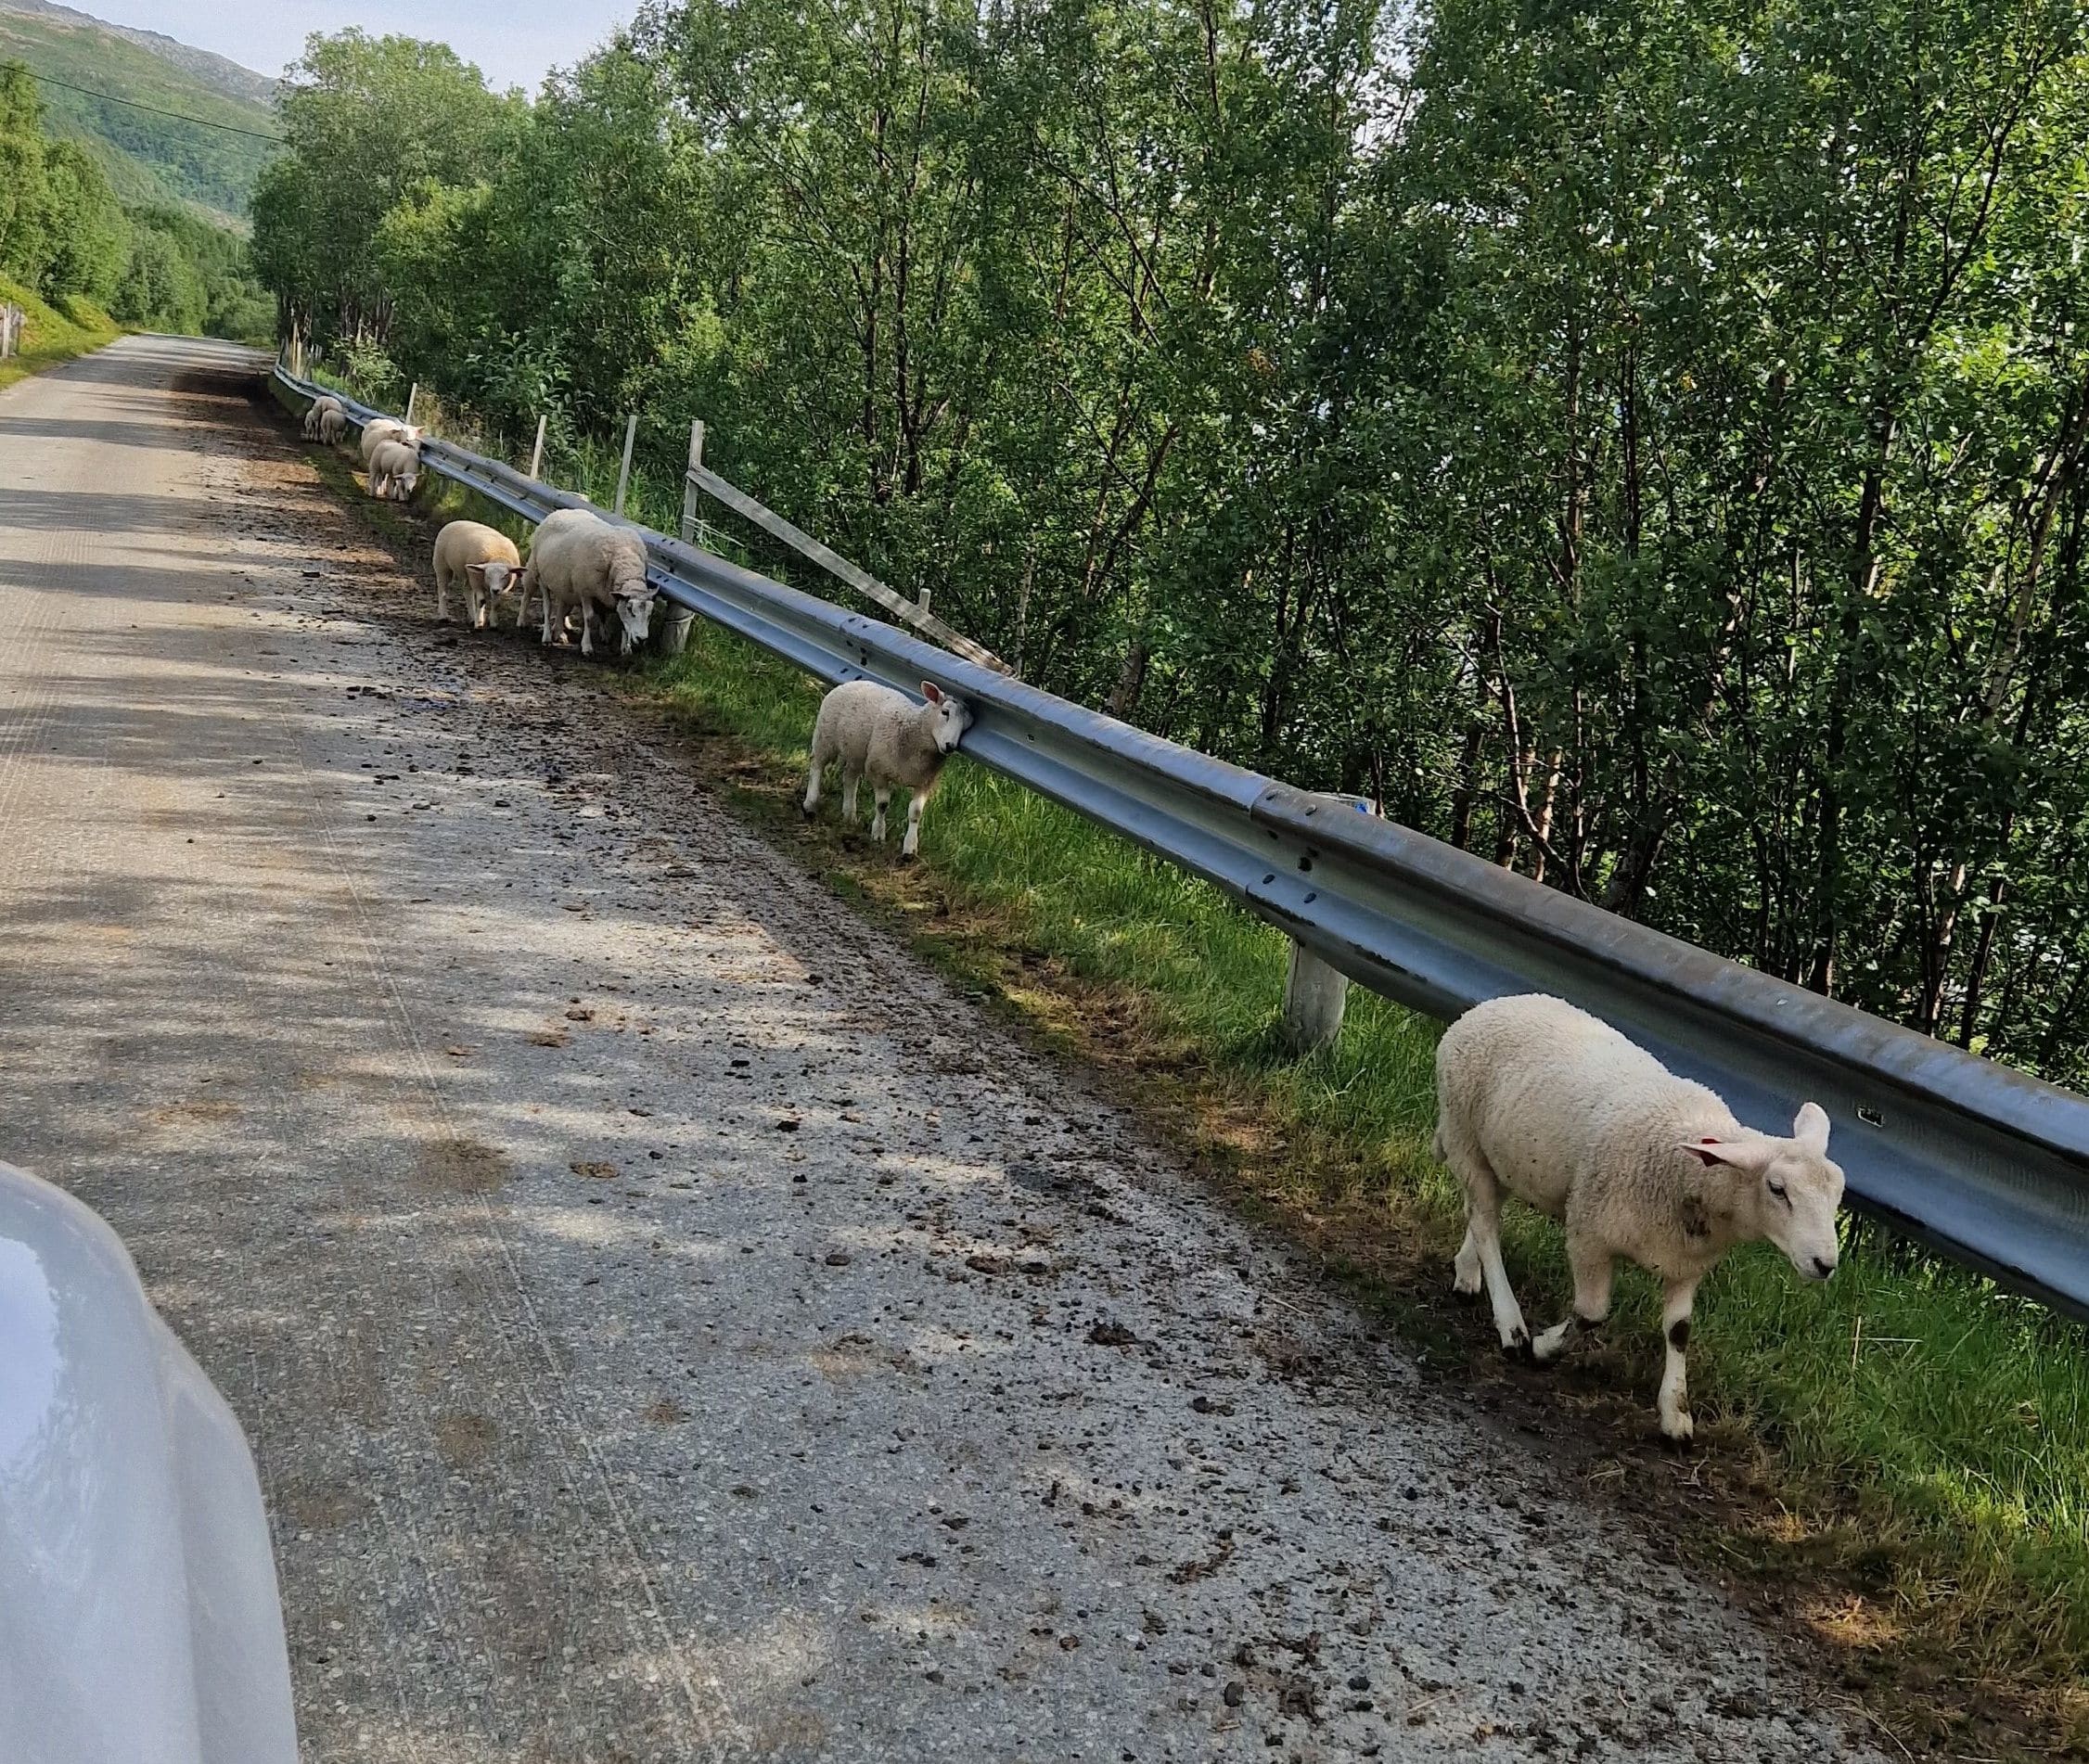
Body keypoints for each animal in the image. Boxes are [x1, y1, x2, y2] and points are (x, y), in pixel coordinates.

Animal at [526, 507, 657, 657]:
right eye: (631, 611)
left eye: (649, 615)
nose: (642, 639)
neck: (624, 560)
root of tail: (560, 511)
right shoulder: (585, 591)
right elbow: (588, 617)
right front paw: (587, 647)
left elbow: (619, 619)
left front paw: (625, 648)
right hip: (541, 577)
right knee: (547, 608)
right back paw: (547, 637)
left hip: (563, 584)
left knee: (562, 607)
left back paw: (558, 633)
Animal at [801, 679, 972, 860]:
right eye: (945, 712)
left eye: (967, 726)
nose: (950, 746)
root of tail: (853, 682)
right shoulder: (878, 770)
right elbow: (882, 805)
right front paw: (878, 834)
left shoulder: (926, 781)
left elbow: (916, 813)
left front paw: (910, 848)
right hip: (825, 735)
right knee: (817, 765)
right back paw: (810, 804)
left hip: (857, 751)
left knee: (849, 778)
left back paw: (849, 816)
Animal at [1432, 993, 1844, 1441]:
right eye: (1777, 1188)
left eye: (1838, 1193)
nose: (1825, 1264)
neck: (1688, 1167)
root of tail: (1494, 1004)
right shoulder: (1589, 1233)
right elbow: (1591, 1314)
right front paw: (1543, 1347)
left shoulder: (1688, 1263)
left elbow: (1679, 1331)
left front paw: (1676, 1415)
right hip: (1465, 1136)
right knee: (1486, 1224)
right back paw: (1511, 1325)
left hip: (1501, 1156)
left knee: (1481, 1214)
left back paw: (1468, 1273)